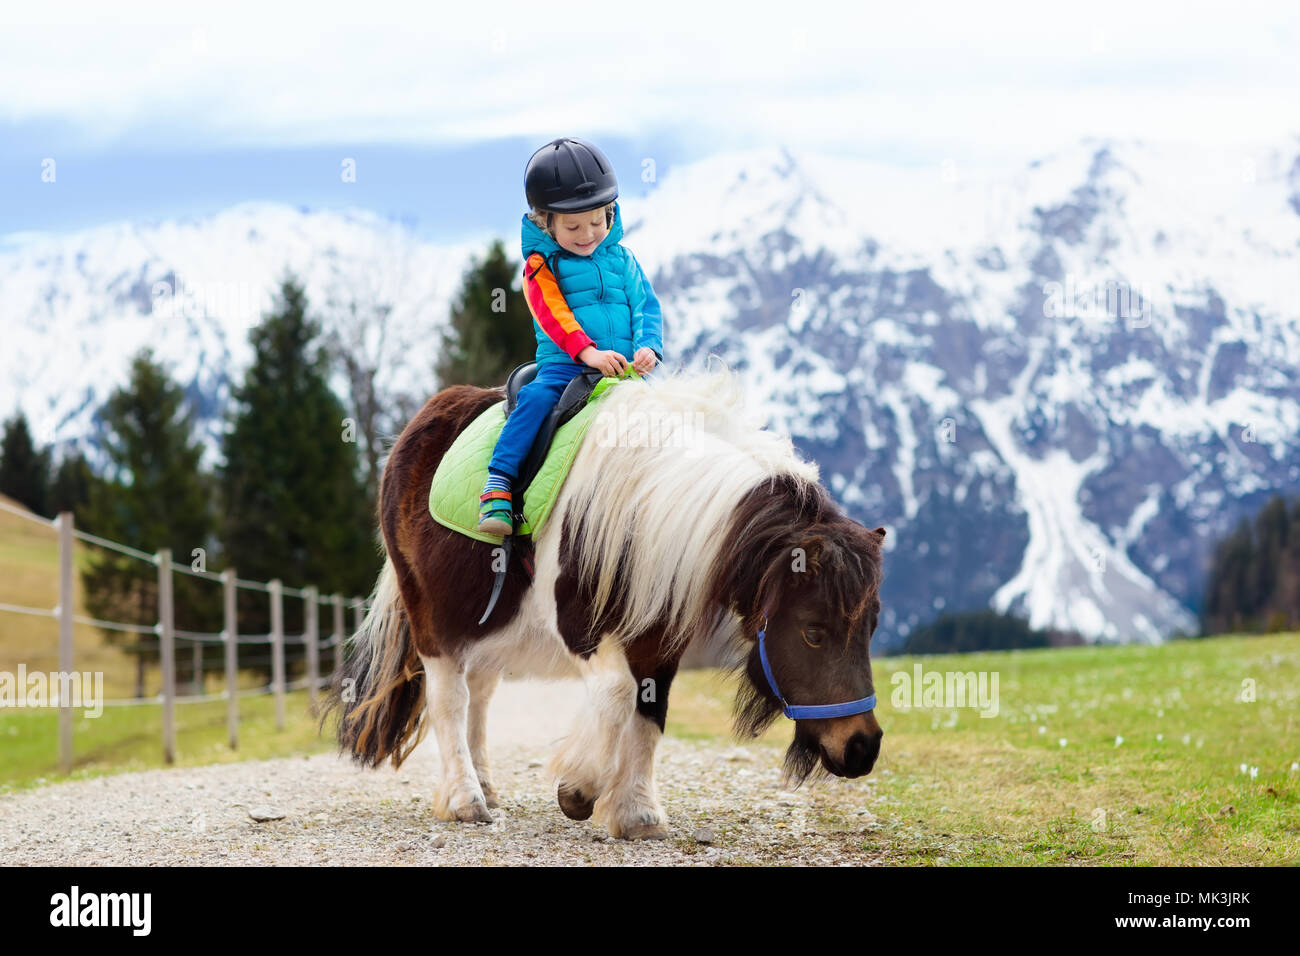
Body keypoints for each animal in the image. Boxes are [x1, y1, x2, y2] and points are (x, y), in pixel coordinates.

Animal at [320, 363, 886, 840]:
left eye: (871, 627)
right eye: (813, 630)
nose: (862, 746)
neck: (646, 502)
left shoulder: (660, 639)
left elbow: (650, 711)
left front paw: (637, 813)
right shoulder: (582, 628)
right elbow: (617, 694)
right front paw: (579, 789)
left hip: (489, 624)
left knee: (478, 695)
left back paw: (487, 786)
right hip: (434, 618)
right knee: (449, 699)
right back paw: (465, 800)